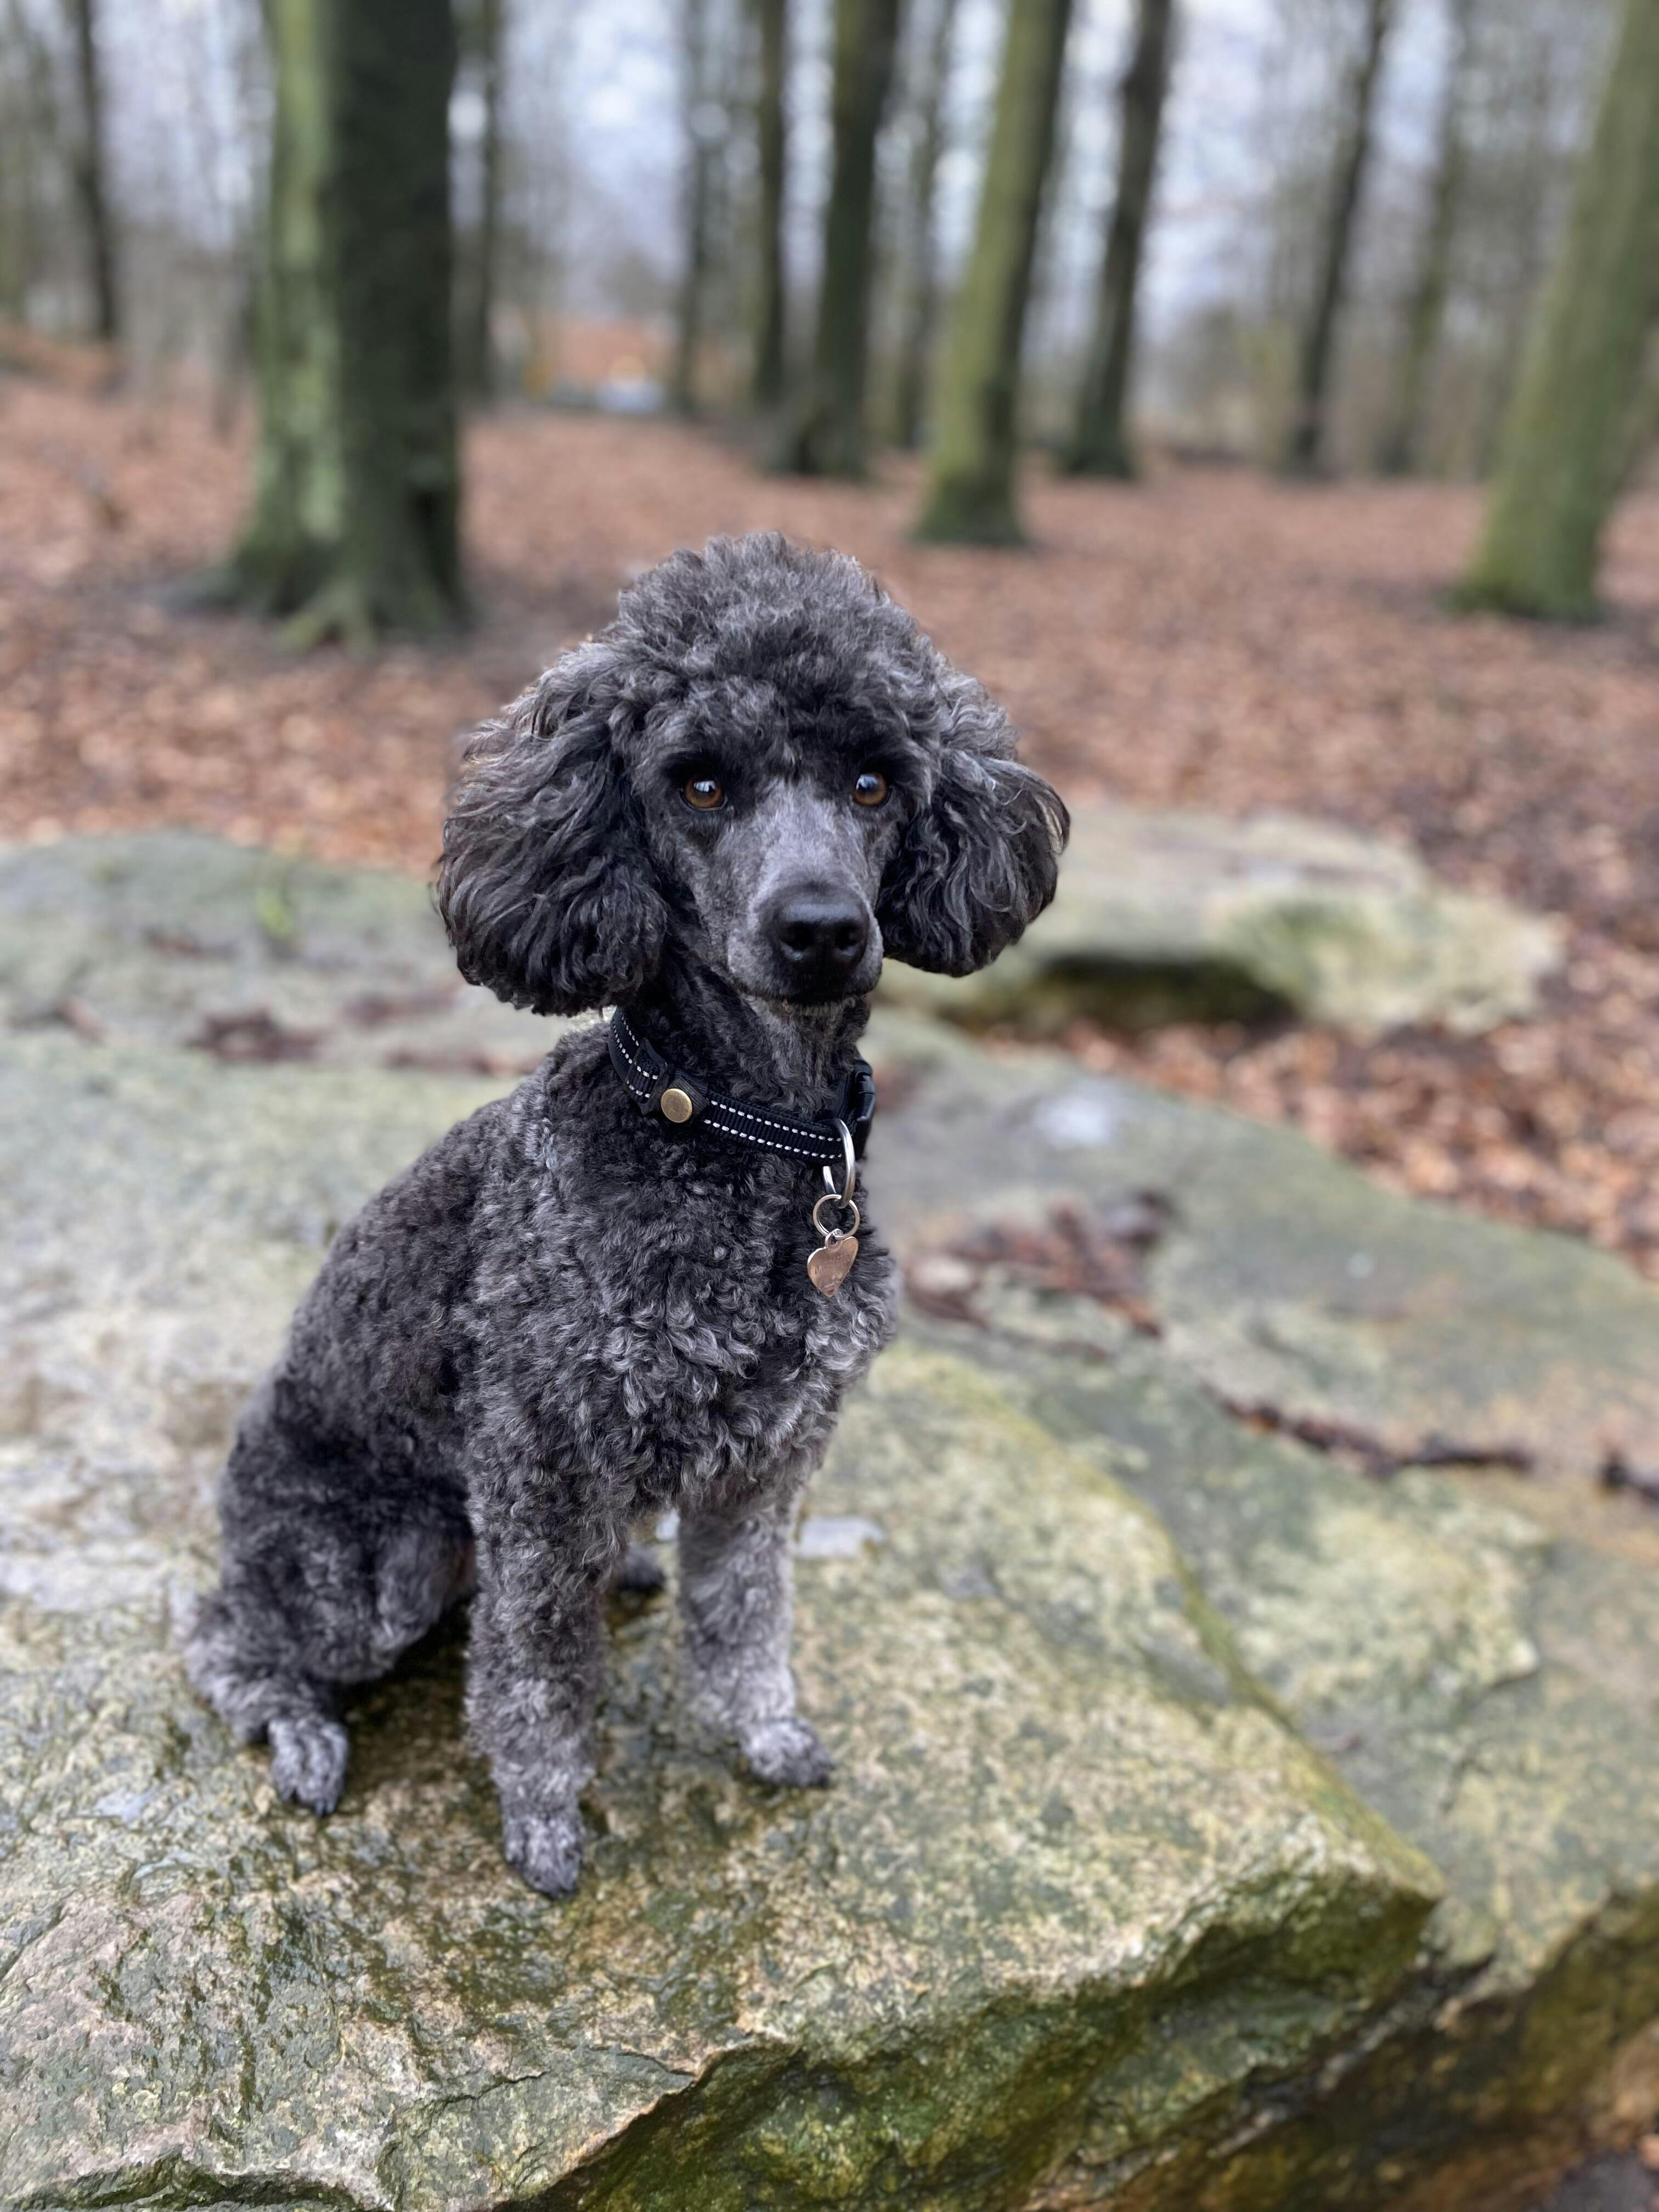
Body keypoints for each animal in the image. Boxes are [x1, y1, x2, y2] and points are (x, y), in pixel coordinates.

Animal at [181, 532, 1067, 1895]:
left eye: (874, 784)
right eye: (699, 785)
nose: (822, 928)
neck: (741, 1135)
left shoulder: (772, 1459)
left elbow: (745, 1610)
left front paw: (766, 1731)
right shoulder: (541, 1468)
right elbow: (540, 1670)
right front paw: (546, 1820)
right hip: (372, 1569)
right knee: (229, 1636)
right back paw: (303, 1730)